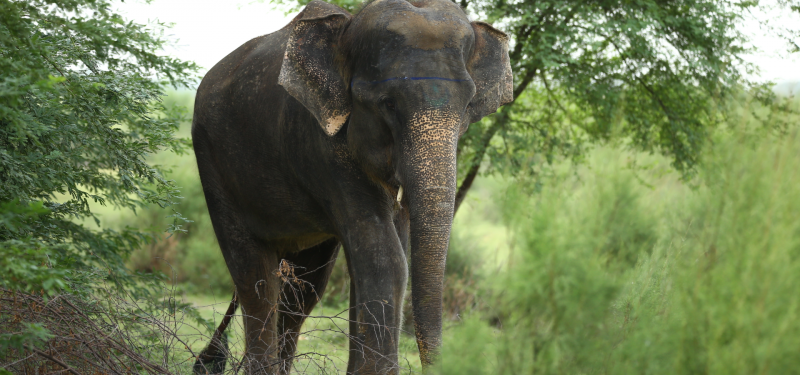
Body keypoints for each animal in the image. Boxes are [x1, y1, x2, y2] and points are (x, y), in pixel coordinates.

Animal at [190, 0, 510, 374]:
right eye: (389, 103)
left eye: (468, 106)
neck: (347, 27)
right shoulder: (323, 146)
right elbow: (384, 255)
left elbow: (385, 251)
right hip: (211, 159)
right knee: (254, 276)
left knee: (304, 290)